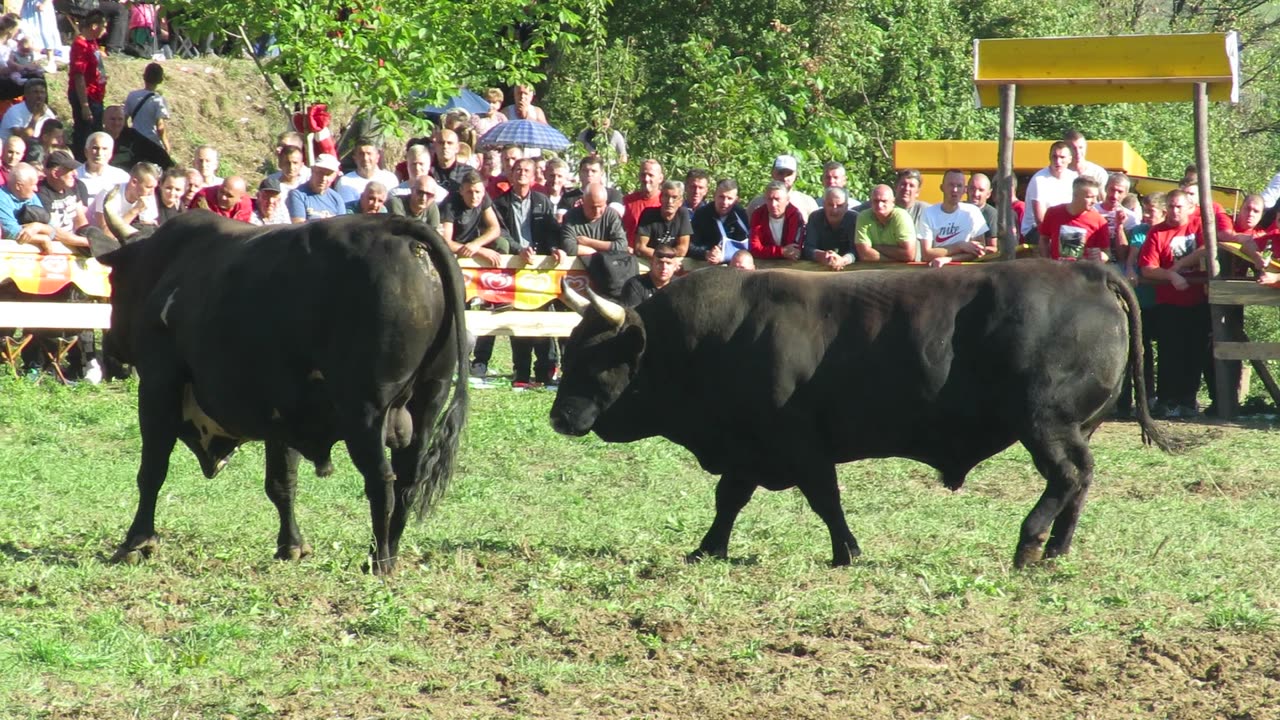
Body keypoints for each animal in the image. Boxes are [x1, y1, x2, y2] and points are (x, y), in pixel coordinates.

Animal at [93, 208, 471, 571]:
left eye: (114, 279)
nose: (110, 348)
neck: (167, 267)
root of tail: (396, 225)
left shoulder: (159, 384)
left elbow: (152, 470)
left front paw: (136, 542)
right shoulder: (283, 413)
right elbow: (282, 483)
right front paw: (291, 546)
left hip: (366, 409)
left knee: (382, 481)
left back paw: (380, 561)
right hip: (429, 397)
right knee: (408, 479)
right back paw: (388, 552)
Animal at [550, 257, 1172, 566]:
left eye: (592, 357)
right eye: (570, 348)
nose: (559, 419)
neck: (712, 340)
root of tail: (1086, 272)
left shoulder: (799, 444)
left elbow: (825, 499)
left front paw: (846, 551)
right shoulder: (750, 447)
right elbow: (729, 499)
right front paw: (707, 549)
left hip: (1046, 424)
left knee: (1065, 477)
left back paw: (1029, 544)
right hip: (1074, 428)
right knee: (1080, 481)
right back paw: (1058, 553)